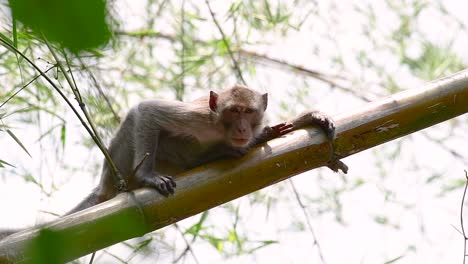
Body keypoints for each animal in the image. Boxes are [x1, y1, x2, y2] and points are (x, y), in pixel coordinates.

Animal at [0, 84, 348, 239]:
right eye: (233, 111)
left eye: (248, 112)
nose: (241, 129)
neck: (219, 129)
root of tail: (104, 185)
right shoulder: (198, 118)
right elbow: (147, 111)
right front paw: (149, 179)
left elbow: (267, 134)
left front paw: (309, 119)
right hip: (118, 164)